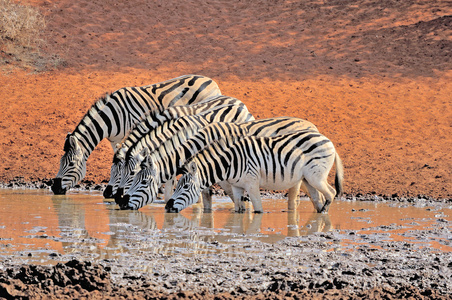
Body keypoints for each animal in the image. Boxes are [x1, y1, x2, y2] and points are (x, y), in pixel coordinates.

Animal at [51, 75, 221, 195]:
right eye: (60, 162)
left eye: (71, 164)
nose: (54, 188)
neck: (111, 117)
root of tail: (210, 80)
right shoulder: (115, 140)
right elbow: (118, 161)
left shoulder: (128, 135)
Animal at [122, 117, 322, 211]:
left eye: (142, 182)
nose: (121, 203)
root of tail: (312, 125)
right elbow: (207, 198)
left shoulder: (227, 174)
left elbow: (232, 197)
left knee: (295, 196)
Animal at [164, 130, 344, 214]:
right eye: (177, 186)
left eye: (185, 187)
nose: (167, 207)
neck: (230, 163)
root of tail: (327, 140)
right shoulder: (236, 187)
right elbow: (239, 209)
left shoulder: (252, 184)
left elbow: (258, 209)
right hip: (308, 178)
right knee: (318, 197)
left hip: (316, 176)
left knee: (331, 192)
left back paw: (324, 212)